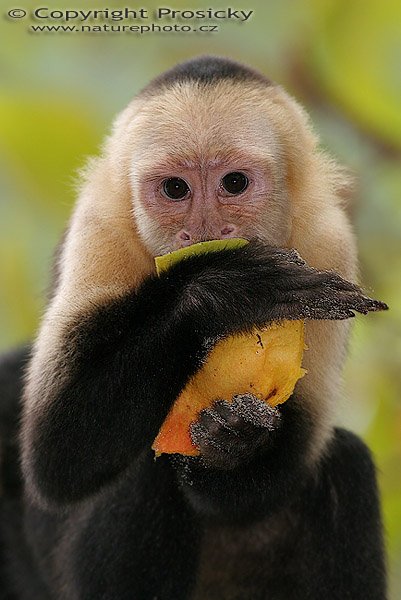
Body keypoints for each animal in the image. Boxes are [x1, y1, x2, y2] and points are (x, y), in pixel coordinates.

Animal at [0, 57, 386, 600]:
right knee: (145, 462)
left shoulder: (326, 240)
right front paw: (223, 288)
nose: (205, 232)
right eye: (175, 189)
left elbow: (276, 471)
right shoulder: (100, 229)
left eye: (234, 183)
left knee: (343, 463)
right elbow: (58, 457)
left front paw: (230, 441)